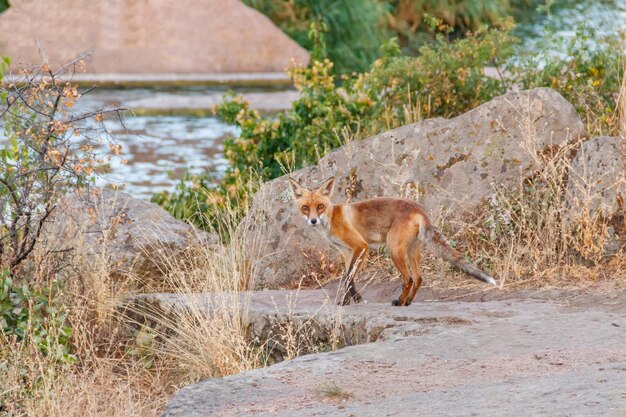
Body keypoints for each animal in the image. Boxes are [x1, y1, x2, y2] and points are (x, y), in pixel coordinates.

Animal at [288, 176, 498, 306]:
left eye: (320, 206)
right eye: (305, 208)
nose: (313, 221)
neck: (332, 219)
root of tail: (418, 208)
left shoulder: (361, 246)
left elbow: (347, 278)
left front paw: (351, 301)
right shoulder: (347, 253)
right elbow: (348, 278)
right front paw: (349, 301)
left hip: (394, 250)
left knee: (409, 278)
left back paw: (399, 302)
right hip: (412, 251)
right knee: (419, 277)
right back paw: (408, 302)